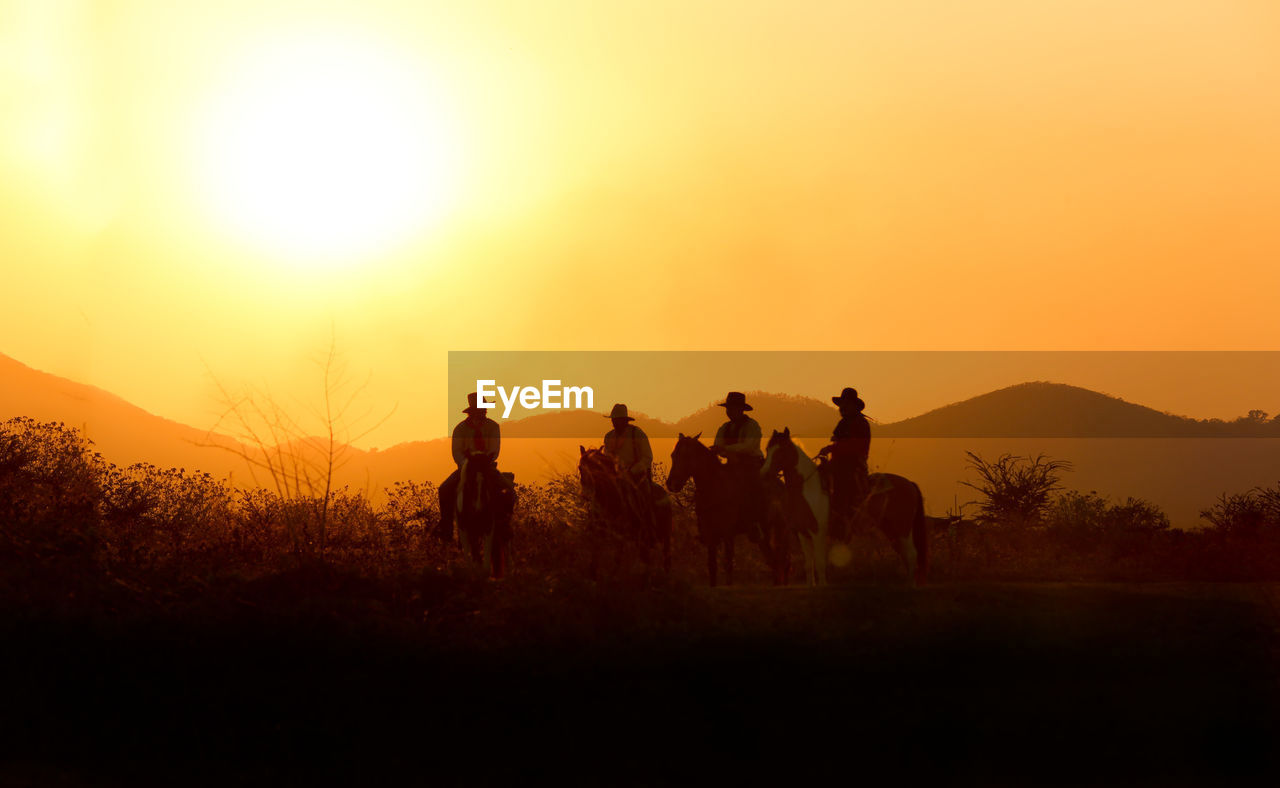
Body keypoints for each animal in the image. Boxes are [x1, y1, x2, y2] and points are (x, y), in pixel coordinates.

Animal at [455, 450, 514, 578]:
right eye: (471, 481)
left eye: (487, 480)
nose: (478, 509)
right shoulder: (470, 530)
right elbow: (476, 556)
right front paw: (477, 572)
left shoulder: (488, 527)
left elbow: (486, 566)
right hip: (464, 532)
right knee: (468, 553)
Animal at [578, 445, 675, 575]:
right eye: (580, 467)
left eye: (597, 467)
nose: (586, 494)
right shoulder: (599, 534)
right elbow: (595, 559)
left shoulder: (622, 537)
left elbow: (617, 559)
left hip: (665, 537)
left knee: (665, 559)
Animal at [670, 429, 788, 585]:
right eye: (673, 455)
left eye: (686, 455)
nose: (671, 483)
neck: (714, 486)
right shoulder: (710, 534)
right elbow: (712, 566)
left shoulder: (728, 533)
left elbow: (728, 564)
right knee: (774, 562)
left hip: (776, 530)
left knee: (781, 561)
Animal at [757, 427, 931, 588]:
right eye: (767, 449)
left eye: (780, 451)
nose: (763, 474)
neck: (808, 488)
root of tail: (910, 484)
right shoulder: (803, 533)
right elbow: (808, 564)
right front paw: (811, 586)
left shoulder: (818, 532)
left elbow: (820, 562)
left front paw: (823, 586)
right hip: (892, 530)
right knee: (905, 555)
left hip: (904, 529)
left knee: (912, 554)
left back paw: (910, 585)